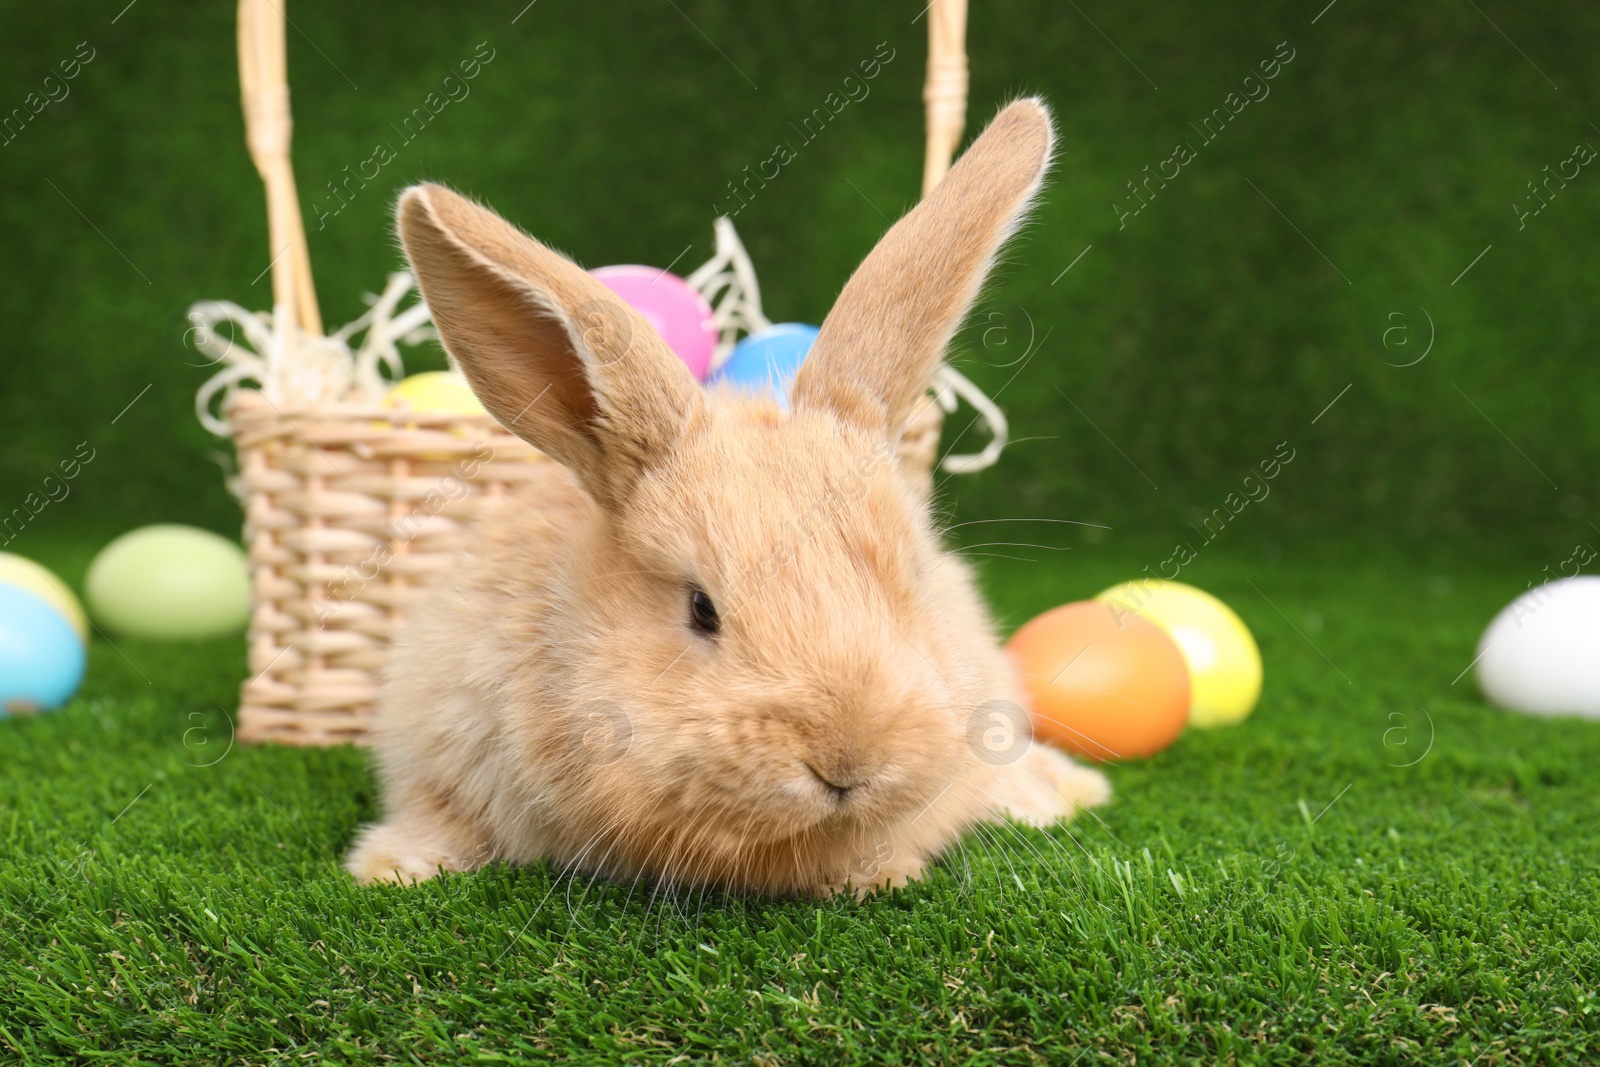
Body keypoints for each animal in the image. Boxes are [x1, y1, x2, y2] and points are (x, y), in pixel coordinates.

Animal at [344, 102, 1107, 902]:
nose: (848, 762)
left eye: (915, 582)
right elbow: (440, 816)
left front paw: (879, 874)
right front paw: (392, 869)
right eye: (701, 609)